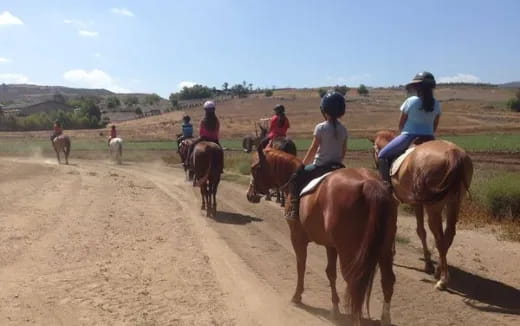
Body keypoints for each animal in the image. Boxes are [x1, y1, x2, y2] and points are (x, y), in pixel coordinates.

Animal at [246, 148, 396, 326]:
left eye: (254, 168)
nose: (250, 194)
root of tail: (369, 183)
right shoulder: (330, 245)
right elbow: (330, 272)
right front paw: (334, 307)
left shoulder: (297, 238)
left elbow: (301, 265)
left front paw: (297, 296)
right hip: (384, 249)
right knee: (387, 280)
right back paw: (385, 318)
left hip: (350, 252)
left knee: (354, 283)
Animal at [370, 130, 476, 290]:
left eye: (374, 151)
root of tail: (453, 153)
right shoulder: (417, 204)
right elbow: (421, 230)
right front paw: (428, 263)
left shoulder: (397, 202)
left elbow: (399, 227)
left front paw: (392, 252)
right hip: (454, 203)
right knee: (448, 235)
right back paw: (439, 270)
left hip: (434, 208)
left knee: (439, 239)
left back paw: (443, 280)